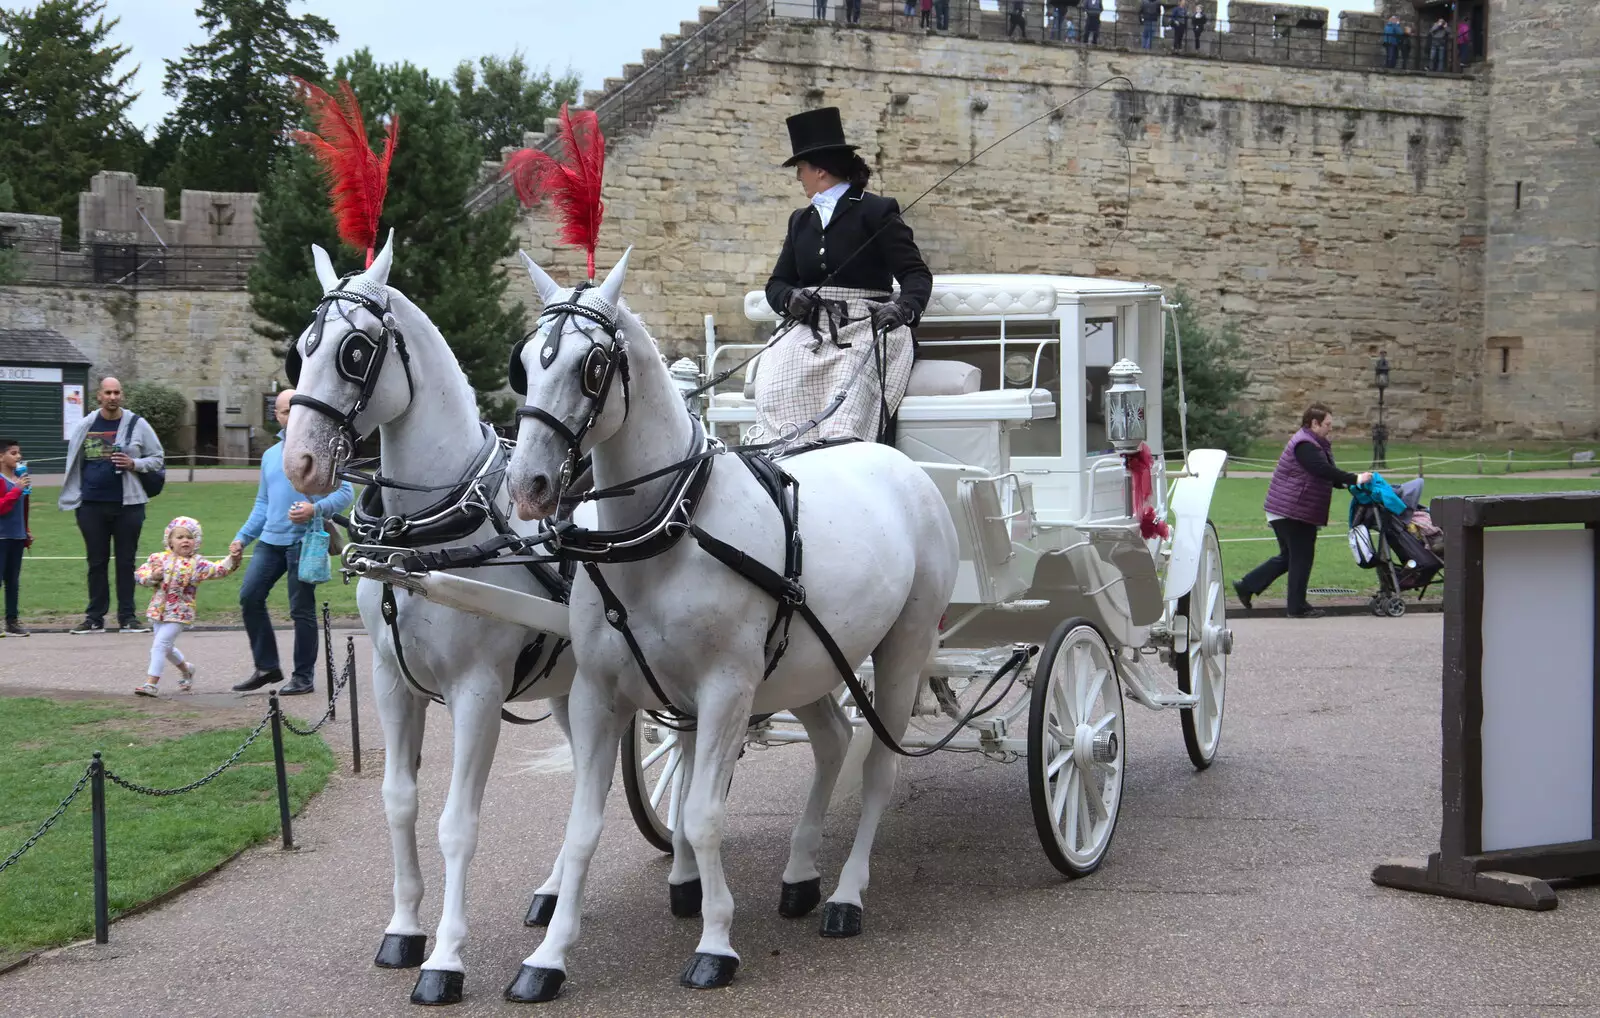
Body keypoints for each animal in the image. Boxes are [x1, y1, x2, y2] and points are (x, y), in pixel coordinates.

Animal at [278, 79, 585, 1011]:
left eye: (355, 349)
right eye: (299, 348)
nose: (301, 461)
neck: (432, 531)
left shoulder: (478, 692)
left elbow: (458, 821)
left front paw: (446, 956)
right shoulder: (390, 680)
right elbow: (400, 801)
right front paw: (404, 929)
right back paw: (554, 892)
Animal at [499, 251, 953, 998]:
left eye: (592, 365)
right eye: (524, 364)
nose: (528, 485)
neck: (664, 531)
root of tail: (897, 461)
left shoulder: (725, 690)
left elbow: (704, 815)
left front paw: (715, 942)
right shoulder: (598, 694)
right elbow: (584, 826)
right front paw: (548, 956)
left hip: (901, 653)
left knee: (878, 770)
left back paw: (846, 896)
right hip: (809, 660)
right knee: (832, 742)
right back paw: (800, 874)